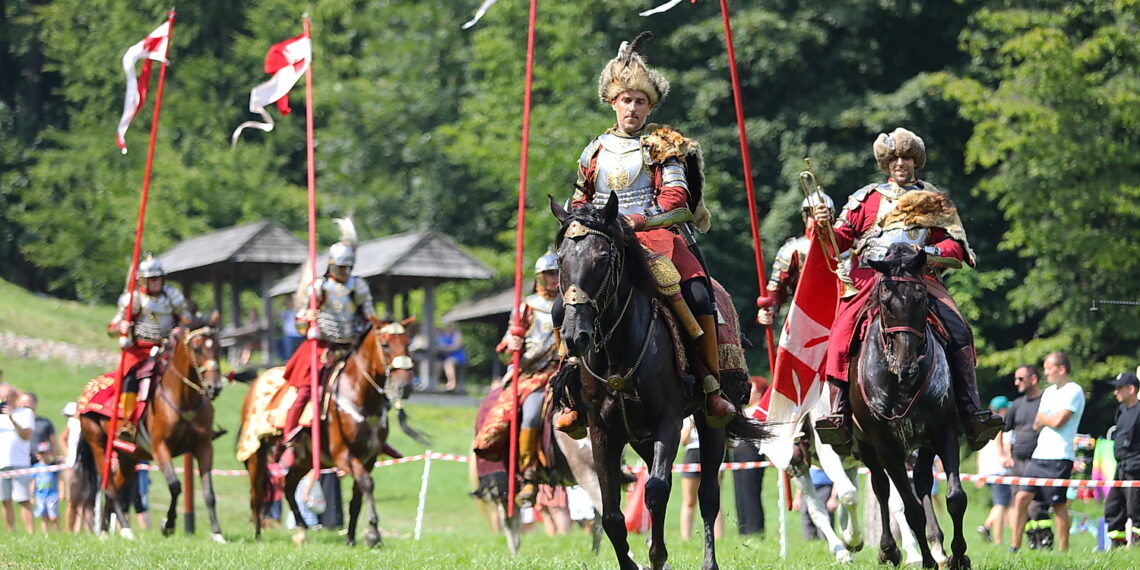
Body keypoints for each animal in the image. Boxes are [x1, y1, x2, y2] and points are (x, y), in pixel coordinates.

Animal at [74, 314, 225, 540]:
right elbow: (175, 486)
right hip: (99, 446)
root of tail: (88, 391)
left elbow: (209, 492)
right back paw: (126, 530)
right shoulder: (160, 447)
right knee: (110, 488)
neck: (183, 400)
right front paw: (168, 525)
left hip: (128, 457)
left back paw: (105, 531)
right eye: (197, 348)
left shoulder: (204, 447)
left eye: (218, 347)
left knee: (116, 487)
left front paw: (217, 533)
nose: (214, 387)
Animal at [235, 316, 428, 547]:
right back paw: (258, 534)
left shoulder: (368, 458)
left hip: (304, 459)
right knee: (256, 490)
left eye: (407, 344)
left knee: (288, 485)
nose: (405, 386)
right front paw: (373, 533)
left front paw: (351, 538)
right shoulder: (344, 456)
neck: (360, 395)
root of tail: (257, 380)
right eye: (385, 344)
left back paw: (301, 530)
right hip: (255, 451)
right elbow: (367, 483)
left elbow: (357, 497)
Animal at [549, 192, 766, 570]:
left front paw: (657, 556)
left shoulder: (669, 421)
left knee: (708, 494)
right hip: (640, 436)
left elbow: (657, 490)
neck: (618, 355)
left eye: (602, 258)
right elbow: (611, 513)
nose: (576, 336)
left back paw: (708, 562)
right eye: (561, 259)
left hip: (709, 423)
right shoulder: (603, 431)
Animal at [852, 243, 966, 570]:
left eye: (922, 298)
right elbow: (909, 508)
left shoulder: (943, 432)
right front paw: (925, 560)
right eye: (885, 302)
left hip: (921, 446)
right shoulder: (886, 447)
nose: (907, 369)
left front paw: (959, 555)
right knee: (881, 487)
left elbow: (955, 498)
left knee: (923, 483)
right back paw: (889, 549)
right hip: (867, 446)